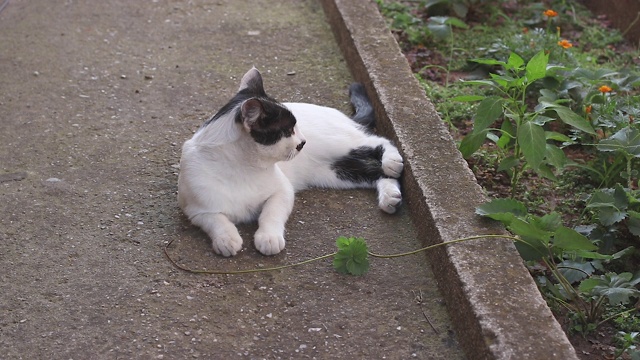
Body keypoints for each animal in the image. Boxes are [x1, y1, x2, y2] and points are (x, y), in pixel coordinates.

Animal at [178, 68, 402, 256]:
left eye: (295, 127)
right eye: (287, 130)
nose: (302, 142)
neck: (242, 169)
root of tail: (341, 115)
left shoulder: (283, 191)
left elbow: (271, 213)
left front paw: (268, 238)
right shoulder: (197, 210)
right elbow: (217, 220)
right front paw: (227, 239)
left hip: (340, 144)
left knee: (379, 140)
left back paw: (393, 161)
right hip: (336, 173)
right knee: (375, 172)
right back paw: (390, 197)